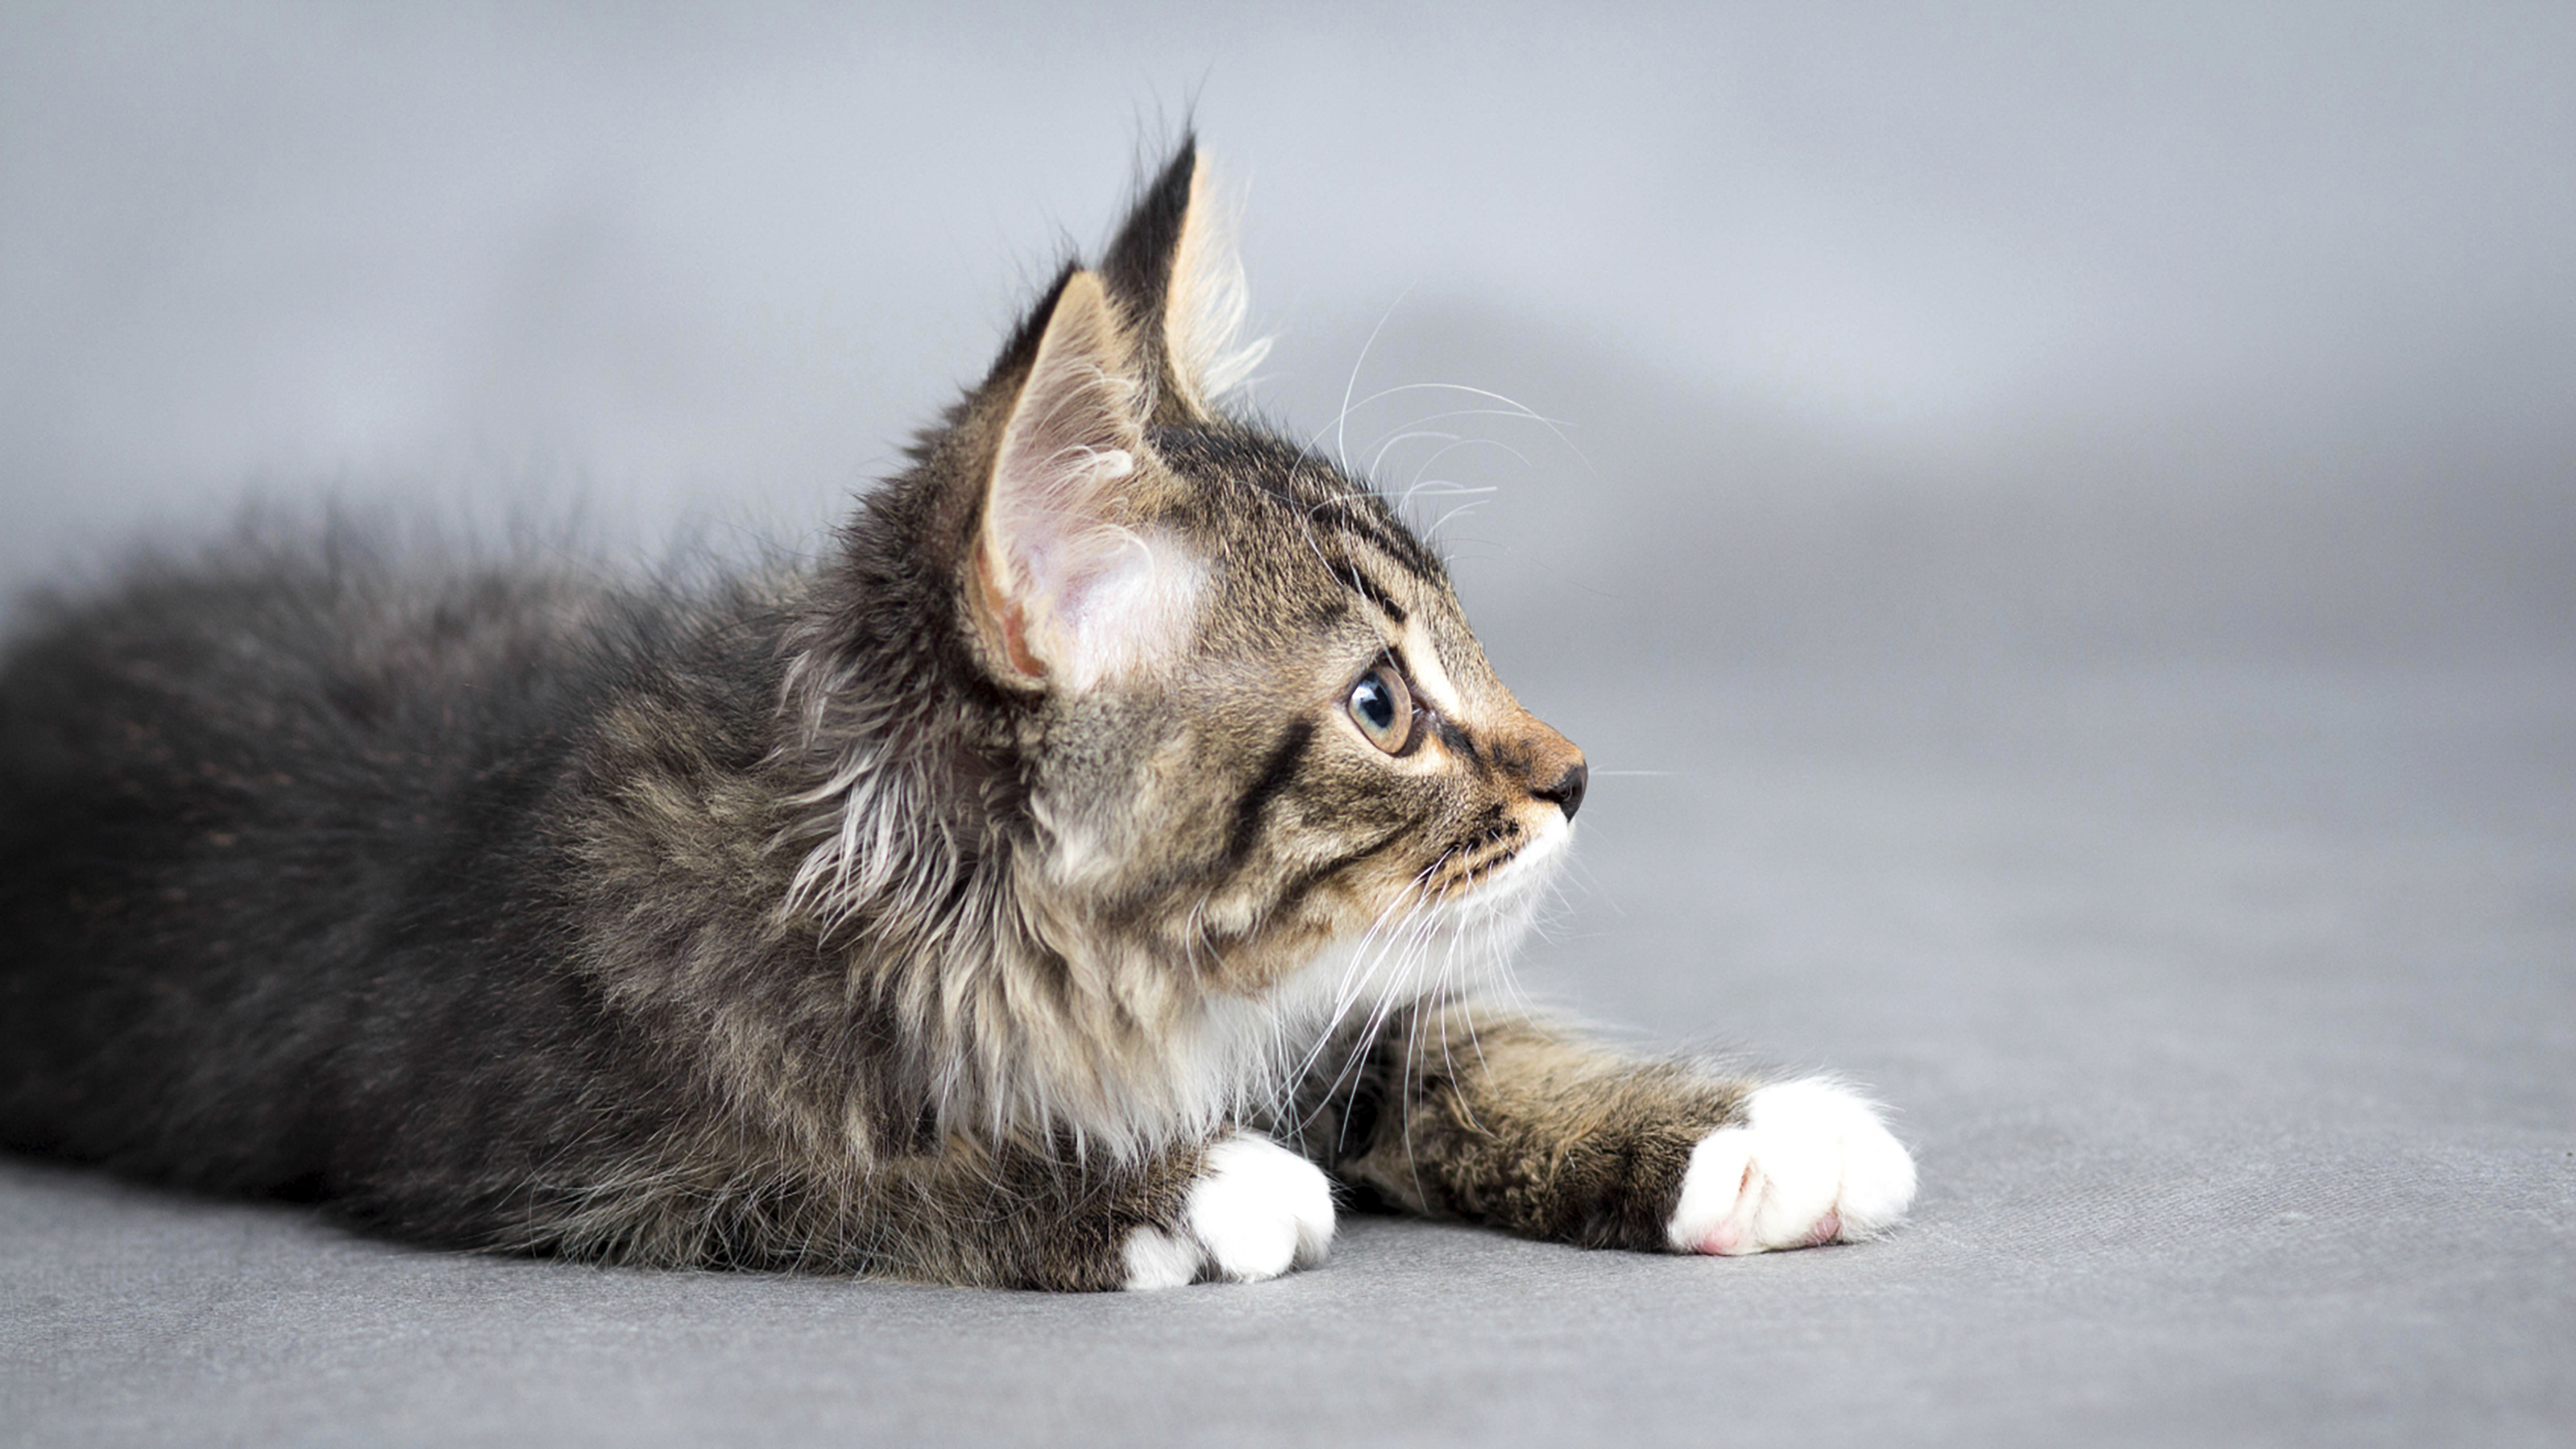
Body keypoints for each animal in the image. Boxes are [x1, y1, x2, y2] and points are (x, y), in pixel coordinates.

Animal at [0, 138, 1916, 1284]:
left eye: (1466, 644)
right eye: (1383, 703)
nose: (1575, 776)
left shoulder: (1302, 1012)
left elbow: (1447, 1040)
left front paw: (1748, 1136)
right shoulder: (550, 1143)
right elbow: (844, 1172)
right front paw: (1173, 1188)